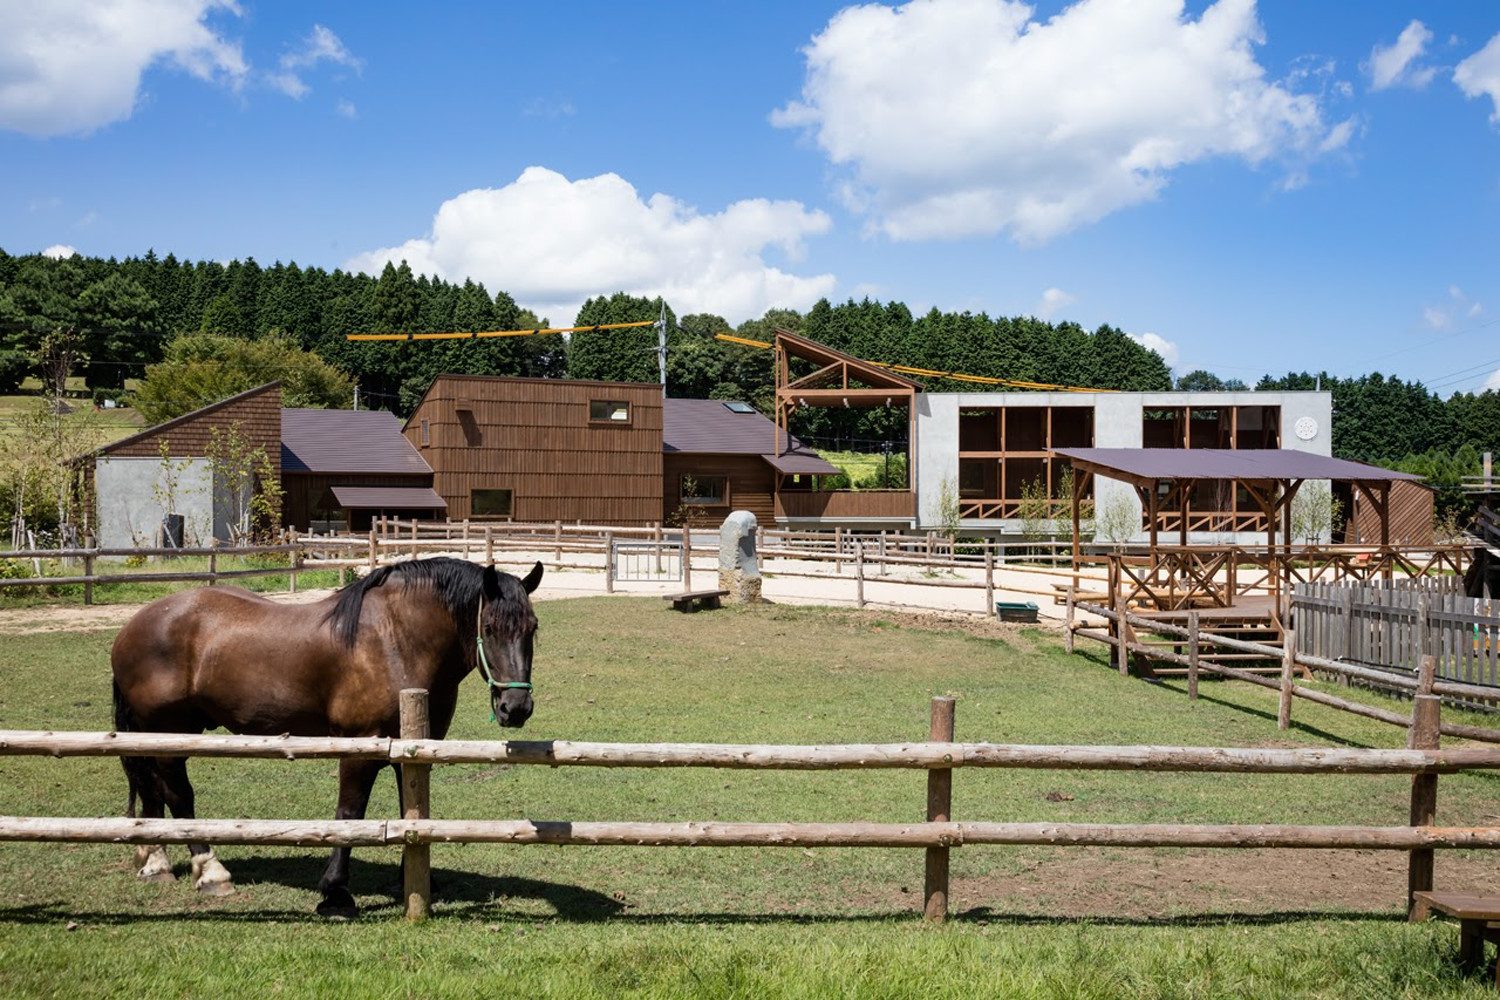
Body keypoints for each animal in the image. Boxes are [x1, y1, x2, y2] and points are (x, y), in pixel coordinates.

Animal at [111, 560, 546, 917]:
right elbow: (349, 815)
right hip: (171, 732)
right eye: (489, 628)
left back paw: (154, 861)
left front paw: (419, 880)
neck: (395, 640)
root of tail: (134, 626)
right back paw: (211, 871)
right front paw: (336, 894)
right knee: (178, 795)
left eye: (532, 628)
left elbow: (412, 811)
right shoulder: (359, 748)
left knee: (152, 790)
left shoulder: (414, 750)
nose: (516, 706)